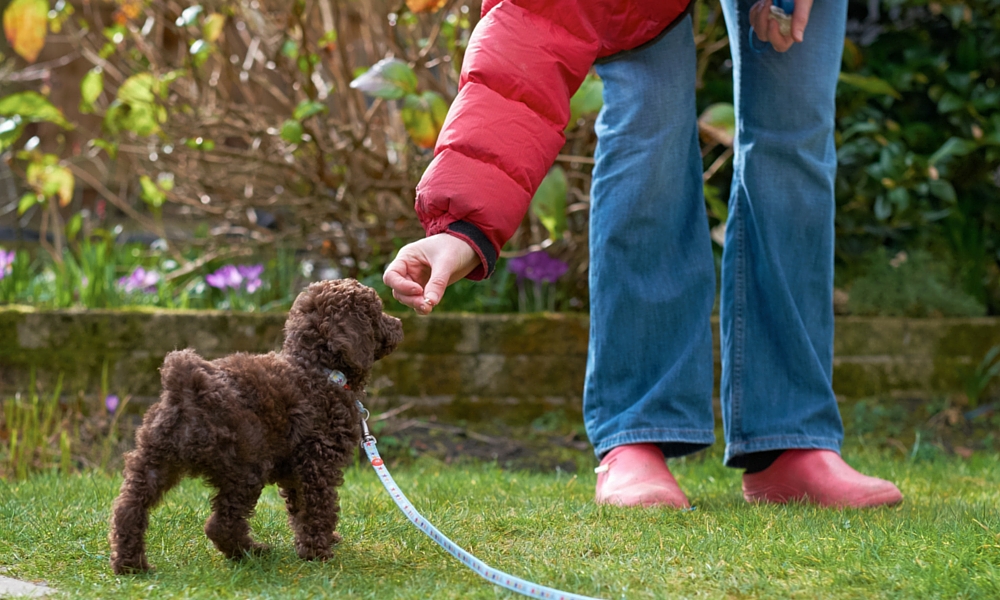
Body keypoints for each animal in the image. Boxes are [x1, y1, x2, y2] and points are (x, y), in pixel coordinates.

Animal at [109, 278, 402, 576]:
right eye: (377, 313)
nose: (400, 323)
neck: (316, 368)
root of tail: (187, 386)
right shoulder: (318, 463)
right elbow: (319, 507)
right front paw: (318, 553)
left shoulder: (295, 471)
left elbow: (300, 509)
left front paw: (317, 543)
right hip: (246, 465)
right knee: (221, 523)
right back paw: (250, 552)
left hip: (155, 460)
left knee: (128, 509)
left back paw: (130, 564)